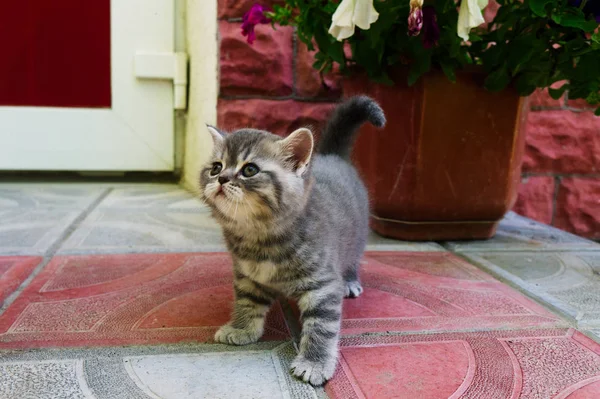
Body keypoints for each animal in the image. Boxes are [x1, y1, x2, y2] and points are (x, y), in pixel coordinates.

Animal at [199, 95, 386, 386]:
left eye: (249, 170)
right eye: (216, 167)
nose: (221, 178)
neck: (259, 237)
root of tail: (332, 156)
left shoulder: (323, 284)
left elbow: (321, 325)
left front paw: (314, 362)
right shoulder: (247, 276)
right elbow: (247, 301)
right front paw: (242, 328)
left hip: (357, 237)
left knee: (353, 259)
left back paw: (351, 281)